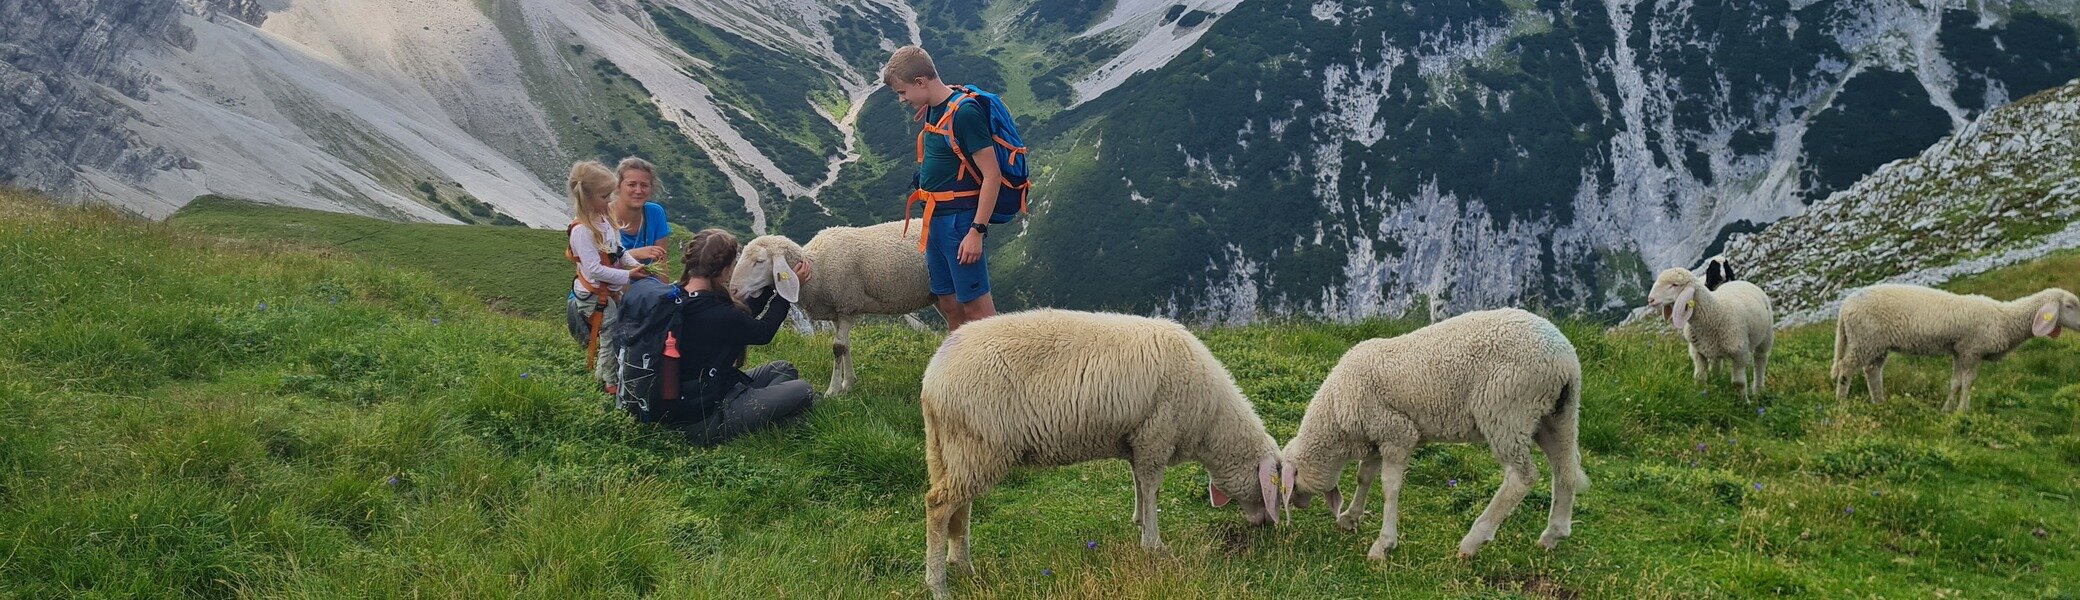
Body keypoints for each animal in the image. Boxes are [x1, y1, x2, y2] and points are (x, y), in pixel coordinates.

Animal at [728, 217, 931, 395]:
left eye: (759, 261)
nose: (733, 290)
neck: (817, 269)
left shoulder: (847, 305)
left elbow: (838, 347)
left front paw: (833, 390)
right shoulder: (836, 312)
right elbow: (847, 345)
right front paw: (848, 383)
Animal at [923, 308, 1281, 600]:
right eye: (1273, 487)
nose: (1267, 527)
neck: (1211, 420)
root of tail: (933, 376)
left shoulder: (1138, 438)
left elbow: (1139, 483)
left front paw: (1139, 521)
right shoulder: (1156, 434)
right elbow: (1152, 488)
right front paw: (1153, 544)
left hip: (954, 450)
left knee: (960, 508)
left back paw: (963, 565)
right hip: (978, 446)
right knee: (939, 506)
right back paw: (938, 584)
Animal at [1272, 306, 1580, 558]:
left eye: (1290, 485)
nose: (1297, 505)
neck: (1335, 419)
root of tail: (1565, 359)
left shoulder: (1397, 433)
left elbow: (1389, 487)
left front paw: (1383, 544)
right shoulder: (1376, 436)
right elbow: (1364, 476)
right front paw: (1350, 517)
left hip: (1507, 411)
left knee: (1522, 478)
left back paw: (1473, 540)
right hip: (1557, 416)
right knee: (1566, 470)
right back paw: (1553, 535)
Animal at [1639, 265, 1772, 397]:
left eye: (1675, 284)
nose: (1650, 299)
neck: (1714, 312)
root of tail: (1742, 281)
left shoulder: (1740, 354)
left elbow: (1738, 383)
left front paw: (1743, 401)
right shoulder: (1697, 351)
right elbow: (1699, 377)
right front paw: (1701, 394)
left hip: (1766, 336)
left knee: (1760, 360)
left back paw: (1758, 390)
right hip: (1714, 348)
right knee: (1717, 362)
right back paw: (1717, 380)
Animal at [1830, 283, 2071, 410]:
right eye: (2070, 305)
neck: (2004, 318)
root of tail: (1845, 306)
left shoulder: (1959, 351)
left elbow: (1956, 382)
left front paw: (1949, 410)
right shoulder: (1972, 351)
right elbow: (1968, 382)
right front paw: (1963, 412)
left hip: (1876, 343)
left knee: (1871, 370)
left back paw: (1879, 403)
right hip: (1864, 339)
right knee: (1845, 367)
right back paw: (1841, 402)